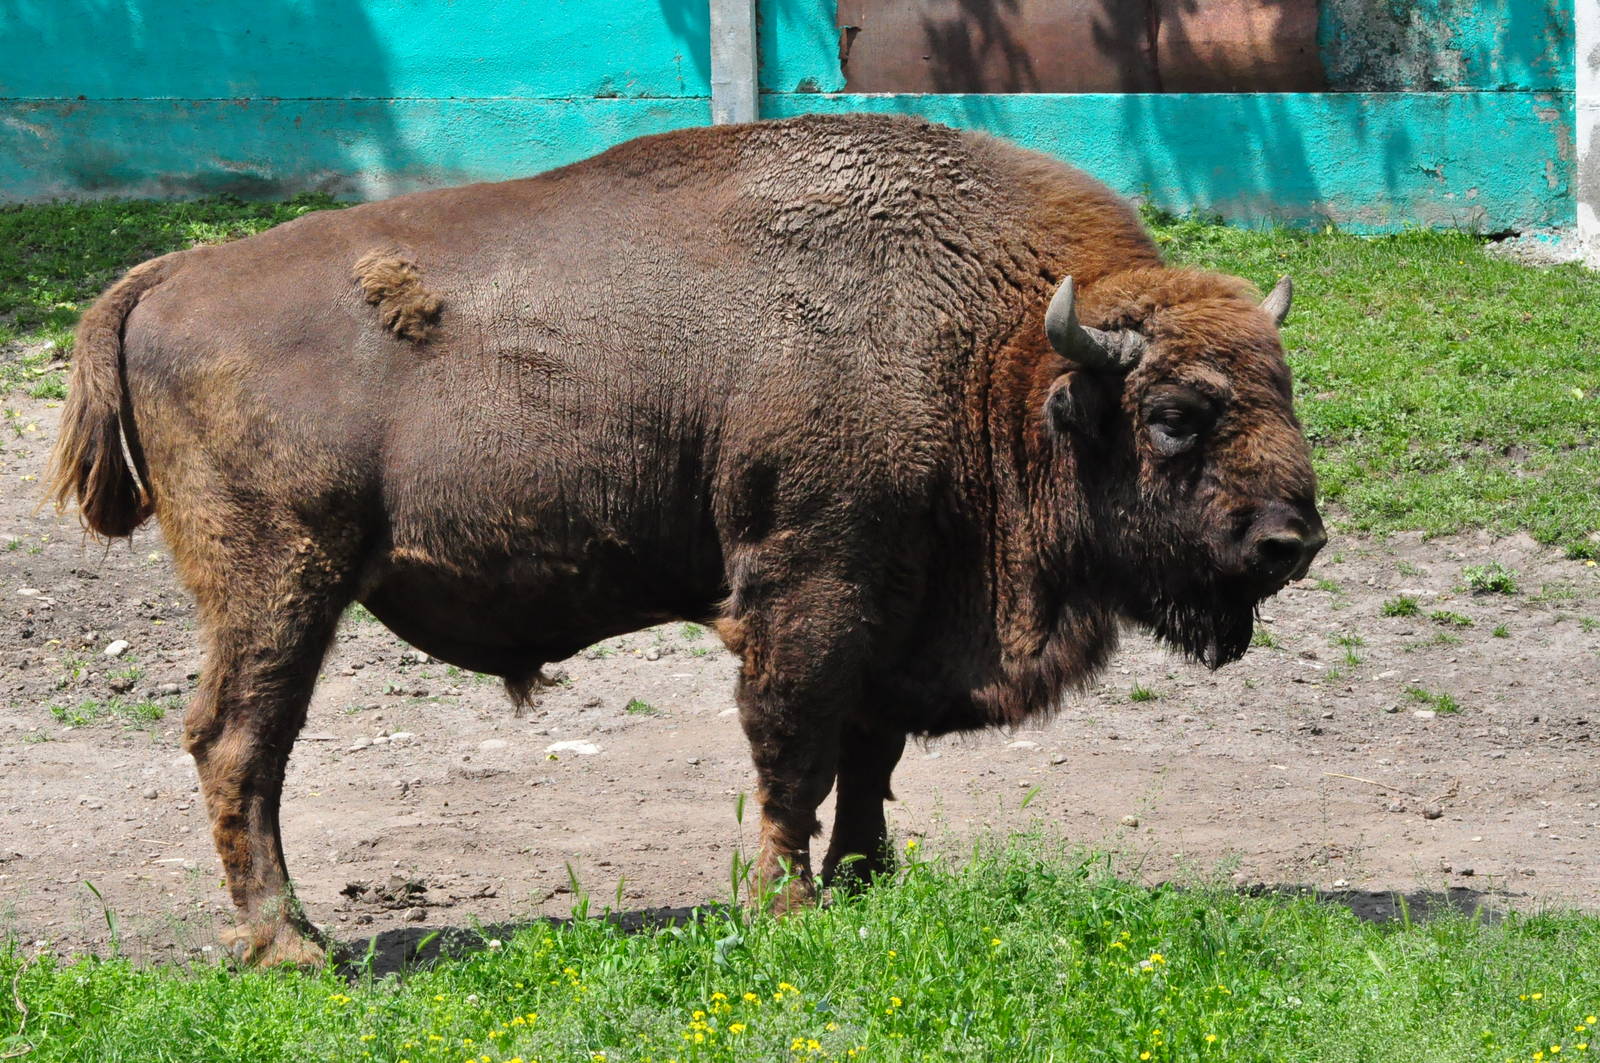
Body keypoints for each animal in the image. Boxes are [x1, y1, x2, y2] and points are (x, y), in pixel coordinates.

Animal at [49, 113, 1324, 966]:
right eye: (1174, 414)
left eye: (1283, 386)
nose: (1291, 541)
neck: (1002, 357)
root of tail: (164, 276)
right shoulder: (808, 588)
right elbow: (793, 748)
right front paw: (788, 904)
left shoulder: (891, 610)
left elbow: (869, 754)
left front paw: (868, 884)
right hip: (279, 582)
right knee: (240, 742)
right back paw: (295, 947)